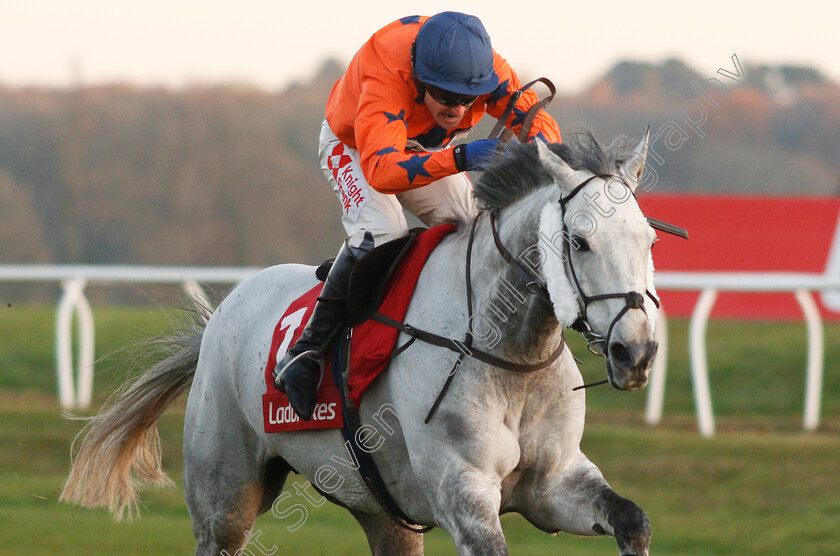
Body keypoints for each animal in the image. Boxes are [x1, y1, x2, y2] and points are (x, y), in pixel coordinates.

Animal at [62, 132, 660, 552]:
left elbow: (632, 520)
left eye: (649, 238)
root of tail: (224, 310)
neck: (510, 354)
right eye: (579, 241)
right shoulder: (462, 494)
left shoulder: (554, 482)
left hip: (383, 509)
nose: (636, 353)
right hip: (223, 497)